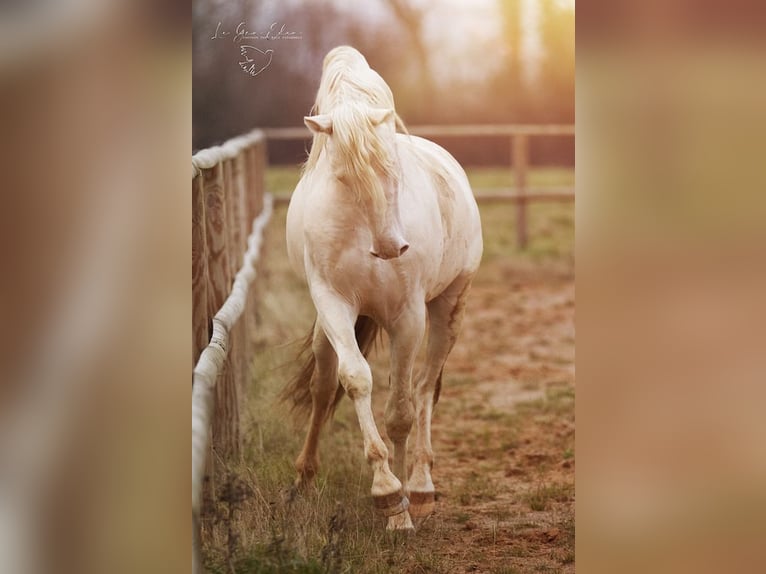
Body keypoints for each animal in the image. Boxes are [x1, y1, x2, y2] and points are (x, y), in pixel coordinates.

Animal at [282, 47, 486, 532]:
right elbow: (355, 380)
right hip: (329, 328)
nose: (392, 247)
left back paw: (423, 487)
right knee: (323, 387)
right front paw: (386, 491)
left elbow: (401, 412)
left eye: (392, 169)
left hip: (448, 309)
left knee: (425, 387)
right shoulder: (334, 306)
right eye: (342, 177)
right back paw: (304, 479)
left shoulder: (407, 318)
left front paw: (403, 507)